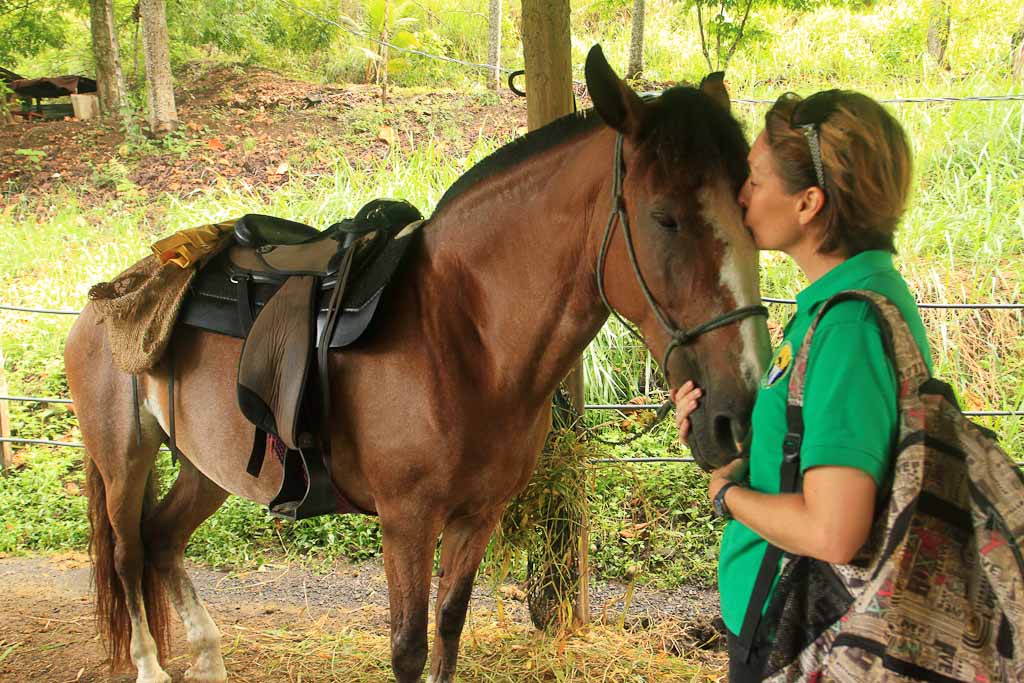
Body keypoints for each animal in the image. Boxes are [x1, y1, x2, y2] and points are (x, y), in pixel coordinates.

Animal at [64, 48, 770, 683]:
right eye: (664, 218)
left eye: (751, 216)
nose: (738, 415)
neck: (464, 338)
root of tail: (113, 289)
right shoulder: (406, 522)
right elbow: (408, 649)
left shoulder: (477, 517)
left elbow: (449, 631)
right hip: (124, 457)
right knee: (128, 553)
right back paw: (151, 667)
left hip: (208, 464)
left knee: (163, 539)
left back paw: (208, 660)